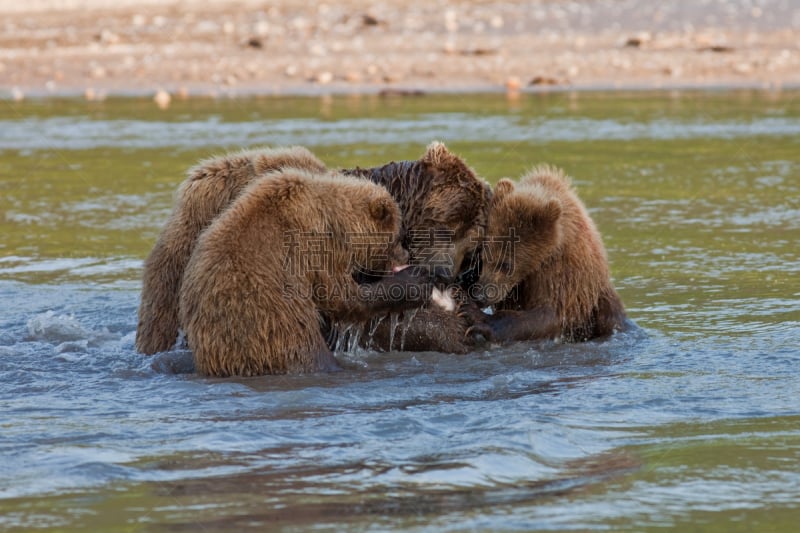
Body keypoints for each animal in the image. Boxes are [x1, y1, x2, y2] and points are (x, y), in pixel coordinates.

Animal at [179, 168, 434, 376]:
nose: (406, 255)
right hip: (281, 333)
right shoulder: (314, 249)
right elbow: (342, 297)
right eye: (399, 236)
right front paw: (414, 282)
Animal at [468, 164, 632, 342]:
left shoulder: (562, 272)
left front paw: (480, 319)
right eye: (483, 258)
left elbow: (549, 315)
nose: (479, 295)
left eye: (506, 264)